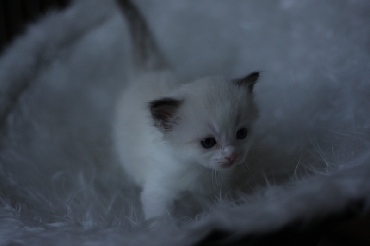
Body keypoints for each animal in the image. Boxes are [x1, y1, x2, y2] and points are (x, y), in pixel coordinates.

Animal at [114, 0, 258, 219]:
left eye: (241, 133)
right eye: (208, 142)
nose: (232, 155)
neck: (199, 170)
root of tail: (150, 70)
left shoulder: (216, 190)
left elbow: (219, 205)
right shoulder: (158, 192)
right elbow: (160, 220)